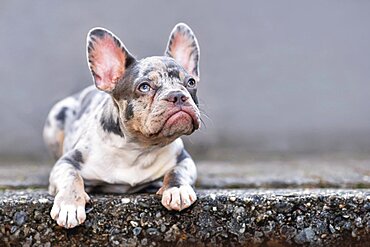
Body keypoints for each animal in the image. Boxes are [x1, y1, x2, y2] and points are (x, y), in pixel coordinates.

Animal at [43, 22, 202, 228]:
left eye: (190, 82)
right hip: (55, 120)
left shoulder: (184, 159)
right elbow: (71, 177)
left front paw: (177, 189)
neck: (137, 148)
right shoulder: (67, 162)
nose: (178, 95)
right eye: (144, 86)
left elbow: (177, 171)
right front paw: (69, 204)